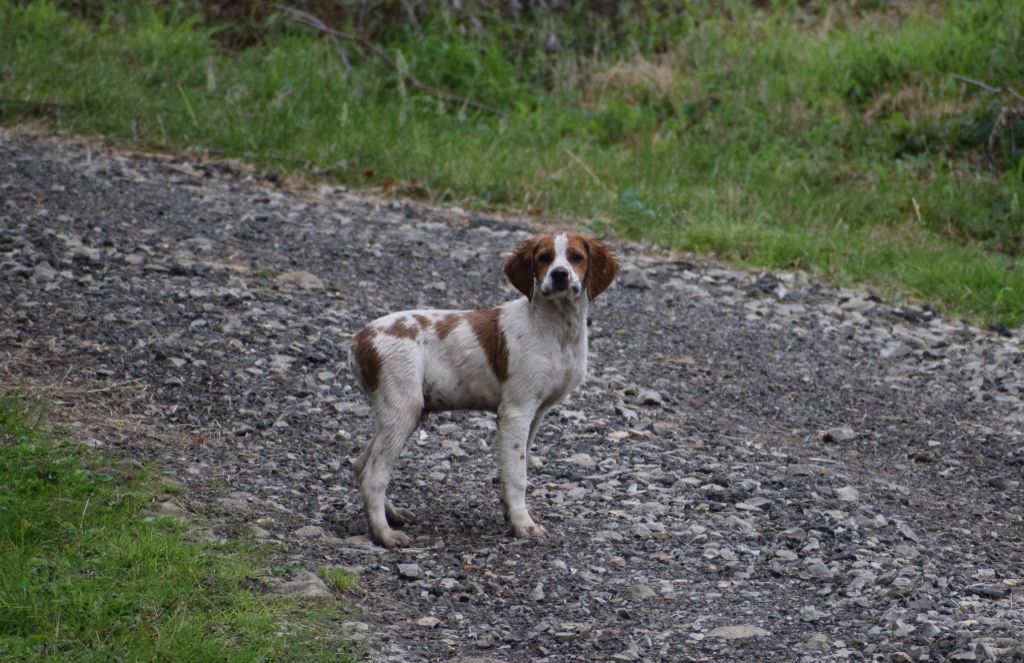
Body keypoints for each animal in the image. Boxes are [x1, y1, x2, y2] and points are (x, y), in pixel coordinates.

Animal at [348, 230, 618, 549]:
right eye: (544, 258)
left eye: (576, 257)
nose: (560, 274)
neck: (556, 329)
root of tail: (360, 338)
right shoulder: (516, 411)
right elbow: (517, 475)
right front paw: (523, 525)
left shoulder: (537, 413)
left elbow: (512, 468)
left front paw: (512, 513)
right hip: (403, 409)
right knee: (373, 475)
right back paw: (384, 534)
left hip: (402, 413)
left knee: (361, 464)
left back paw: (391, 514)